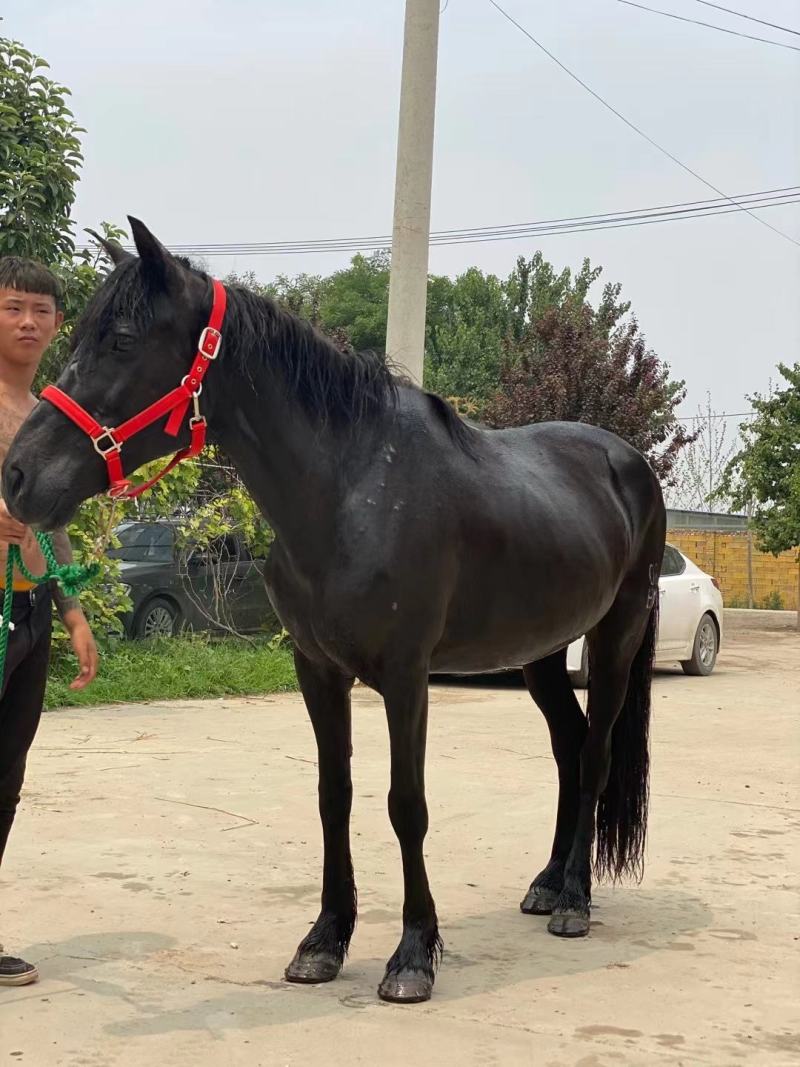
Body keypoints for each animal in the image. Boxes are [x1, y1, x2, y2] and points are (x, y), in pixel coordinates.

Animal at [3, 219, 666, 1004]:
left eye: (124, 340)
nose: (16, 475)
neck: (352, 488)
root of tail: (627, 462)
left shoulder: (408, 678)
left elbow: (406, 805)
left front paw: (412, 955)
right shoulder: (317, 670)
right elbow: (334, 797)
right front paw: (324, 941)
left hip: (616, 637)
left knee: (594, 754)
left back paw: (574, 901)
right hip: (540, 652)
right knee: (568, 746)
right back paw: (546, 883)